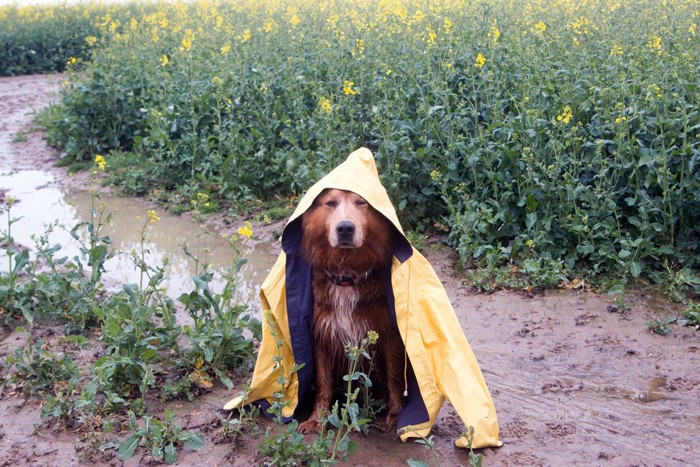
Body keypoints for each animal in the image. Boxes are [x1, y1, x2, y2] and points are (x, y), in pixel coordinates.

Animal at [296, 188, 404, 434]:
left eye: (361, 202)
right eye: (330, 203)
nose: (345, 228)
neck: (346, 276)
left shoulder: (390, 334)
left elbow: (394, 376)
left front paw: (396, 416)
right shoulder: (321, 335)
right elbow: (323, 382)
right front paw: (317, 419)